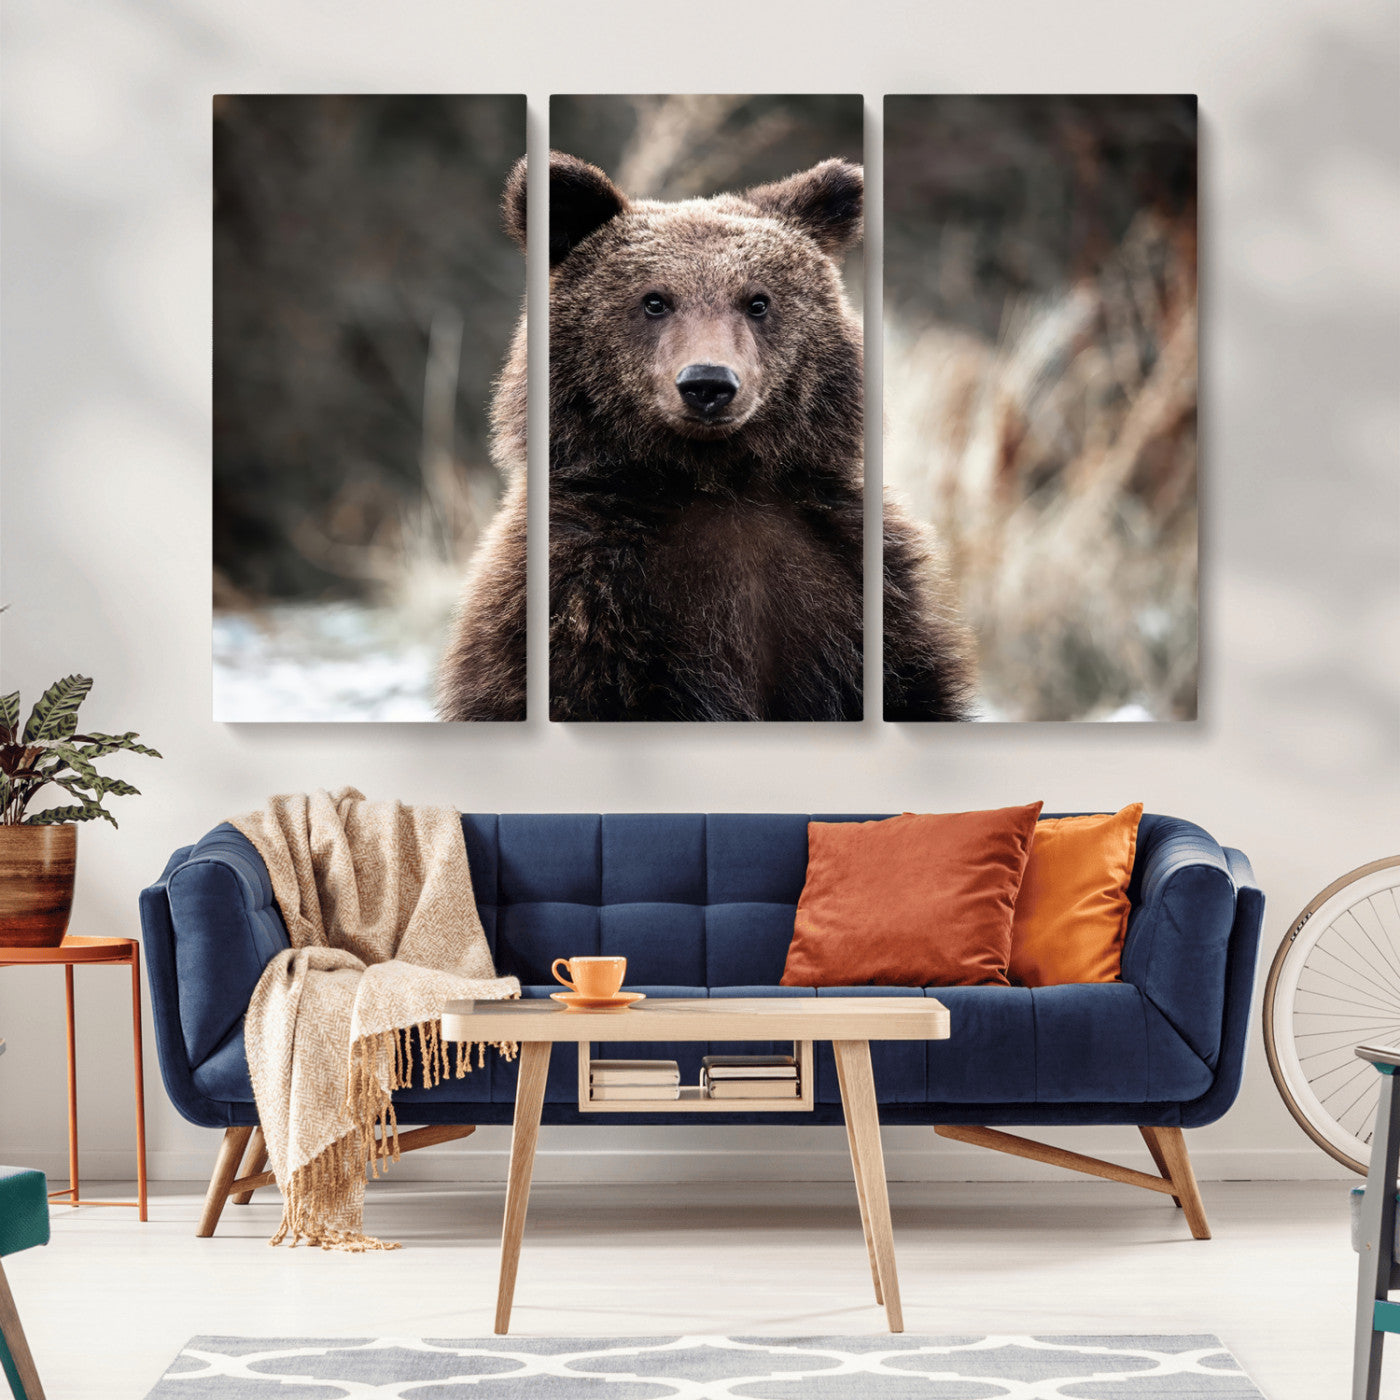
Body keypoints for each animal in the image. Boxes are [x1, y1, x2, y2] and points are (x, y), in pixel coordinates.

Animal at [437, 151, 974, 722]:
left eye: (757, 301)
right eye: (654, 300)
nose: (708, 383)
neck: (715, 480)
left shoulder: (857, 587)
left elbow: (911, 687)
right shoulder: (583, 598)